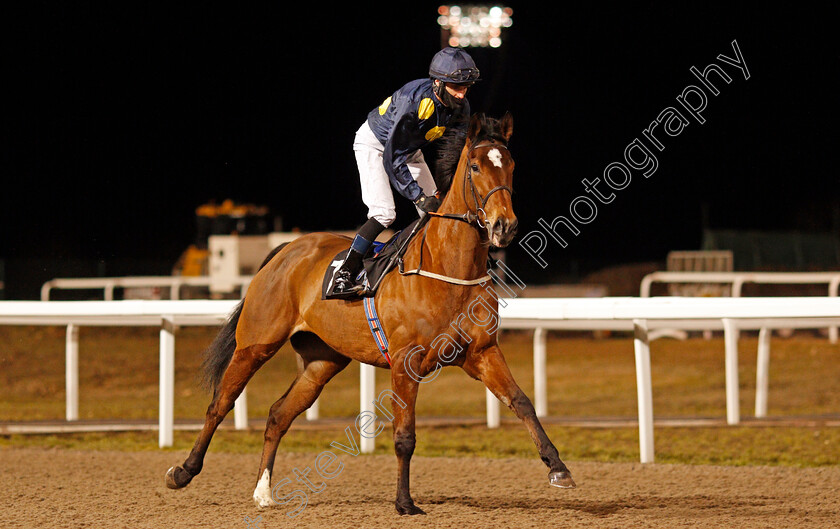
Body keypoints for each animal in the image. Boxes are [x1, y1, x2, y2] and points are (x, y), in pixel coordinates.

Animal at [168, 111, 580, 512]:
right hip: (255, 344)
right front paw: (404, 502)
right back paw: (183, 471)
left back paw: (263, 491)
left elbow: (522, 402)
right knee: (219, 404)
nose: (504, 225)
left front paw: (558, 468)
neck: (447, 268)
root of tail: (286, 249)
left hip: (321, 362)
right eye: (476, 166)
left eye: (510, 164)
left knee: (278, 414)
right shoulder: (406, 363)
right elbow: (404, 436)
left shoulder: (481, 352)